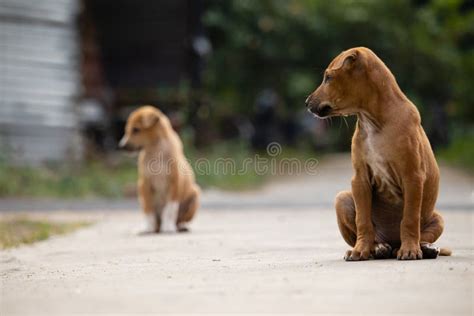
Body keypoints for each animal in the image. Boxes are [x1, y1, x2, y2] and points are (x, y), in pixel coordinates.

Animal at [306, 46, 450, 260]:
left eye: (328, 77)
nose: (306, 103)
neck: (373, 122)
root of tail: (392, 242)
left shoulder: (413, 176)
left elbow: (410, 218)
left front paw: (410, 249)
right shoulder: (360, 179)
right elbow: (363, 220)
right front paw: (360, 250)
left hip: (437, 218)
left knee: (420, 234)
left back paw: (423, 248)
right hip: (342, 199)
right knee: (372, 233)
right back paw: (378, 247)